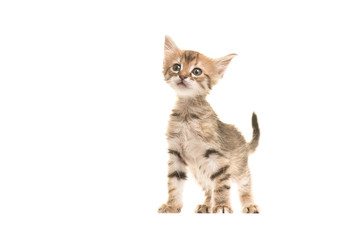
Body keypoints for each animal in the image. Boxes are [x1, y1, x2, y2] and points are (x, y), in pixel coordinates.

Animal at [159, 36, 260, 214]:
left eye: (196, 71)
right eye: (176, 67)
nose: (183, 76)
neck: (187, 115)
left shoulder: (218, 157)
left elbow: (221, 184)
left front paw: (221, 205)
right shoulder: (176, 153)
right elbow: (174, 183)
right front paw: (171, 205)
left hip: (239, 168)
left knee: (245, 184)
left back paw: (249, 204)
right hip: (199, 172)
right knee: (208, 187)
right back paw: (206, 204)